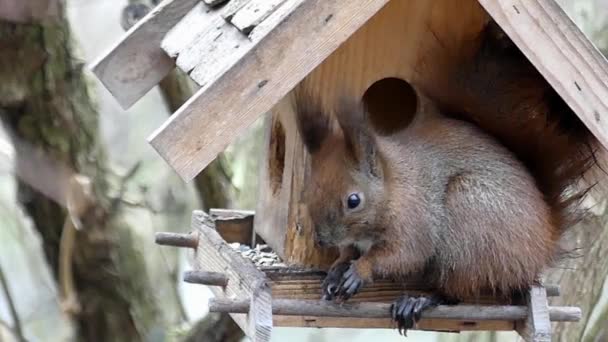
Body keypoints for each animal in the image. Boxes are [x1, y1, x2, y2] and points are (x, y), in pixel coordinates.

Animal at [292, 22, 596, 336]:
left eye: (354, 200)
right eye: (308, 191)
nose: (322, 241)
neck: (393, 189)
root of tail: (544, 241)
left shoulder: (416, 221)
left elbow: (403, 254)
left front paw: (360, 271)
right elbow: (349, 251)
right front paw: (336, 270)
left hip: (469, 223)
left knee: (457, 291)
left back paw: (418, 300)